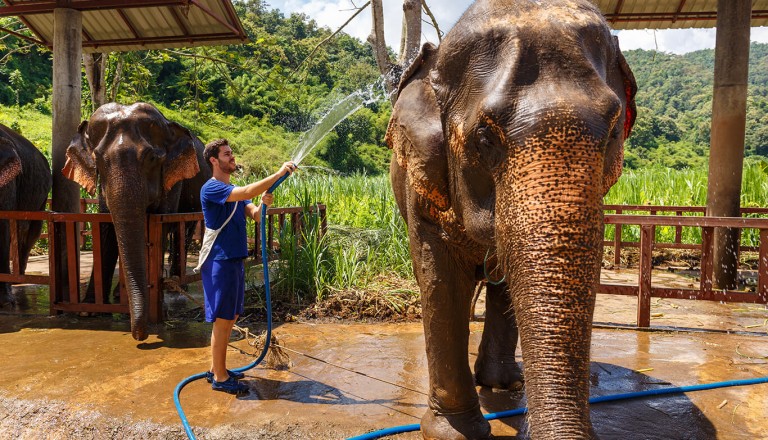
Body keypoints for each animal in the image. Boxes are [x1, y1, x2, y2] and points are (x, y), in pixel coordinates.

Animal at [62, 102, 210, 340]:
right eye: (98, 159)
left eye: (151, 159)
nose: (140, 336)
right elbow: (106, 228)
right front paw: (88, 310)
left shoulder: (171, 179)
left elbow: (161, 223)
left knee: (183, 231)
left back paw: (175, 286)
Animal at [388, 1, 640, 438]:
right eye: (485, 138)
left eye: (612, 132)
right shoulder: (421, 183)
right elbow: (440, 278)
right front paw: (453, 432)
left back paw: (504, 384)